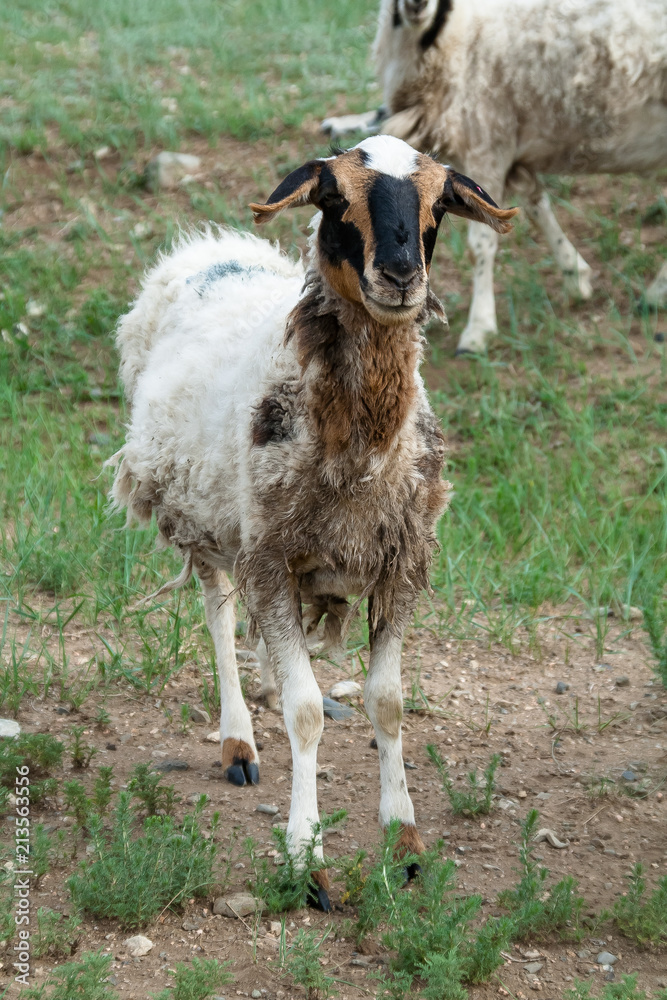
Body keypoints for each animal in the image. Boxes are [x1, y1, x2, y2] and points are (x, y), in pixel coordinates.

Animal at [110, 136, 516, 909]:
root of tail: (213, 245)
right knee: (217, 611)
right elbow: (304, 713)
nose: (400, 276)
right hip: (214, 520)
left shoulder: (399, 564)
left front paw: (404, 840)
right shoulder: (271, 557)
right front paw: (307, 860)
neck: (359, 453)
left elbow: (387, 702)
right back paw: (238, 740)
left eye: (438, 205)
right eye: (334, 199)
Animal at [322, 0, 667, 353]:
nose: (416, 5)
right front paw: (575, 276)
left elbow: (482, 243)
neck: (454, 34)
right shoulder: (507, 148)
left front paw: (479, 328)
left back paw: (655, 295)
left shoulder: (486, 142)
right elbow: (536, 205)